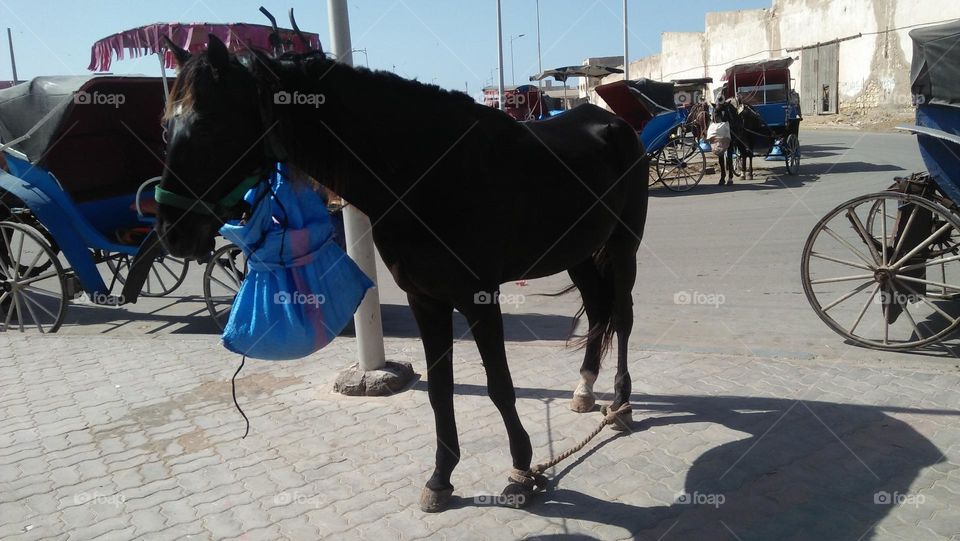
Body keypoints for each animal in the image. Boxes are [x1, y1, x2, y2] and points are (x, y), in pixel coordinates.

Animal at [158, 37, 648, 510]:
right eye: (166, 126)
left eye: (208, 125)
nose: (172, 232)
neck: (425, 173)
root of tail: (616, 126)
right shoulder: (425, 299)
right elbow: (439, 391)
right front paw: (441, 478)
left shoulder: (478, 298)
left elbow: (499, 387)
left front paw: (521, 471)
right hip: (578, 254)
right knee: (599, 312)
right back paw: (584, 390)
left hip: (623, 247)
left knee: (623, 317)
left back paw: (620, 405)